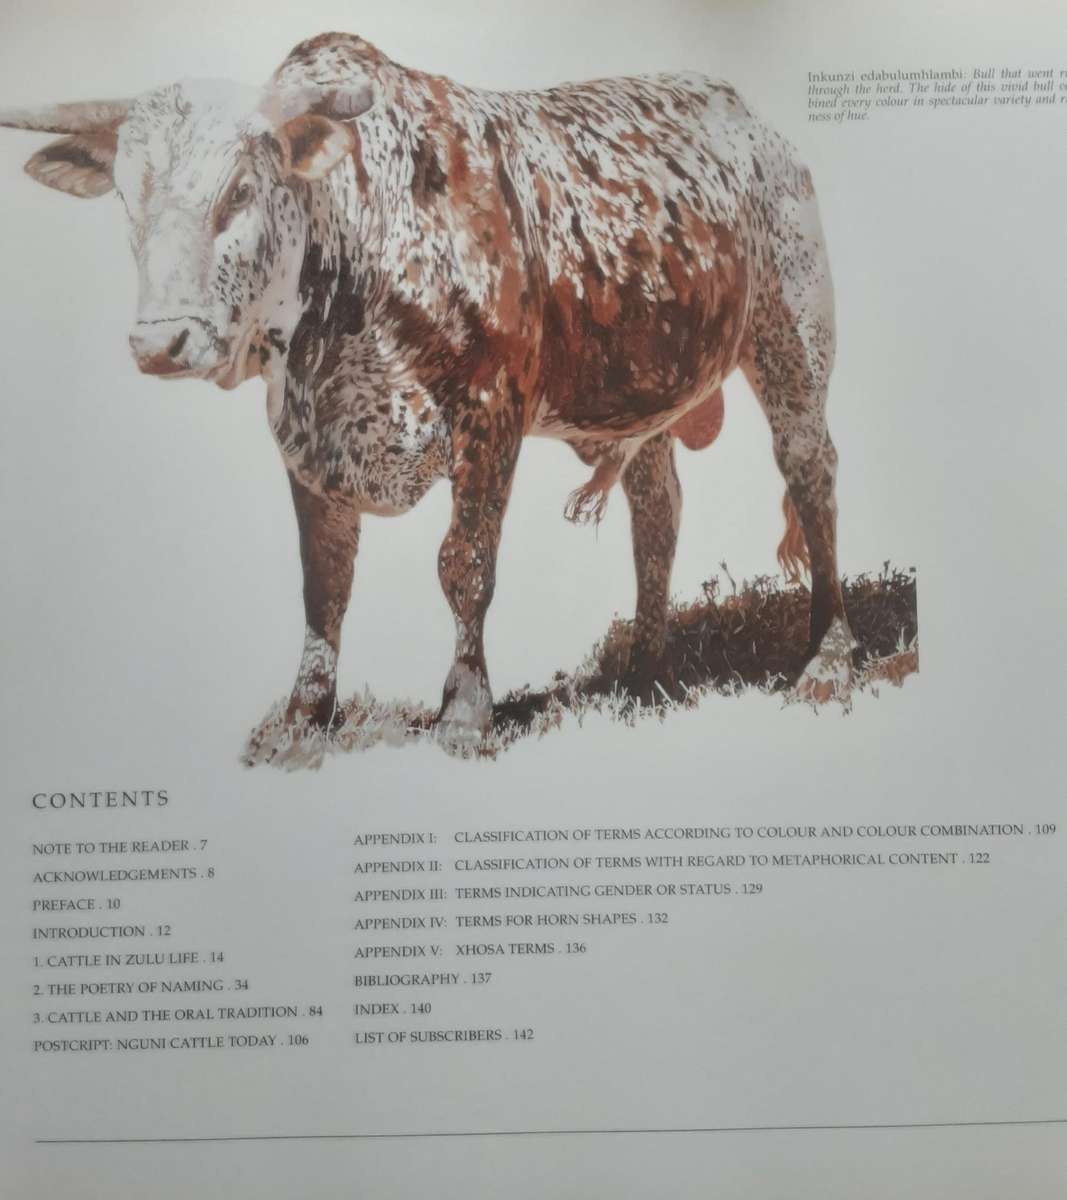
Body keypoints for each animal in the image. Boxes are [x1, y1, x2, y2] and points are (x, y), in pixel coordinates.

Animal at [0, 32, 855, 762]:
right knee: (656, 507)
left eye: (239, 190)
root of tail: (748, 119)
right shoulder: (306, 440)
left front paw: (465, 712)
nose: (159, 345)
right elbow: (324, 584)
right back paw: (645, 675)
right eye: (125, 199)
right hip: (639, 393)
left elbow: (464, 564)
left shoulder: (490, 411)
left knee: (810, 473)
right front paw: (303, 719)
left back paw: (826, 658)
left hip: (791, 336)